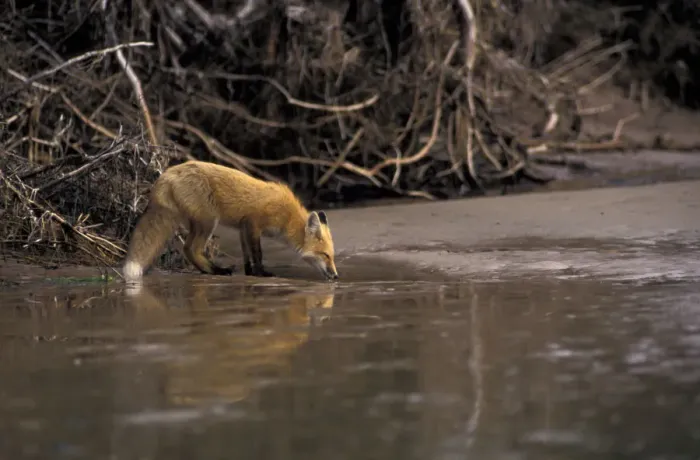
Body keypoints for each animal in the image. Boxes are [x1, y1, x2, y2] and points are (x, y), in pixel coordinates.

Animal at [122, 160, 339, 282]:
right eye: (326, 255)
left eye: (332, 256)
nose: (336, 276)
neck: (287, 217)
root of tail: (166, 174)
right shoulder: (253, 223)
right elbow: (257, 253)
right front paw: (261, 273)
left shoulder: (243, 227)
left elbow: (246, 255)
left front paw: (250, 272)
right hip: (208, 221)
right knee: (191, 249)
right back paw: (216, 270)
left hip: (200, 222)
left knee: (190, 250)